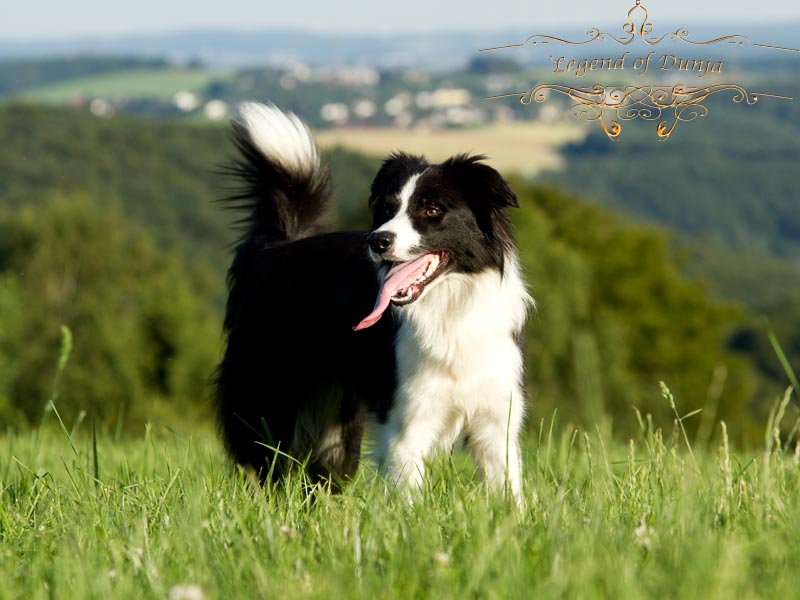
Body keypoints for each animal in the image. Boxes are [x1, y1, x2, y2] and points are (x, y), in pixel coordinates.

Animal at [216, 104, 536, 502]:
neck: (450, 308)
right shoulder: (405, 421)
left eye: (432, 210)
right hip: (266, 398)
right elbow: (408, 493)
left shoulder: (496, 422)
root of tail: (275, 248)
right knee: (263, 468)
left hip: (334, 430)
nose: (377, 241)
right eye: (387, 209)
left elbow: (508, 493)